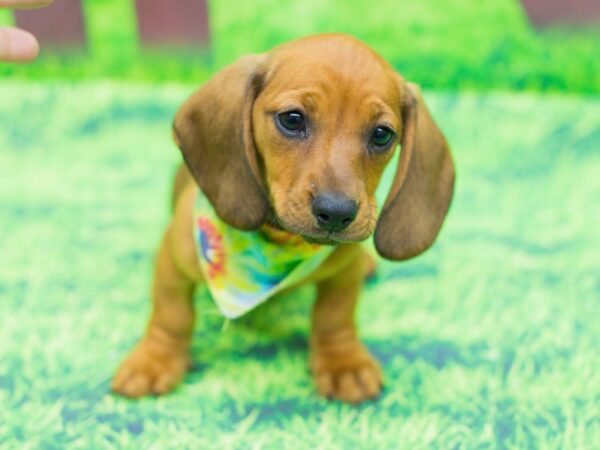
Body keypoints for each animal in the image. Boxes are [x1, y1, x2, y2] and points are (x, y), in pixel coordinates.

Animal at [111, 33, 454, 402]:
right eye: (292, 119)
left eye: (381, 134)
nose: (336, 213)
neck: (280, 243)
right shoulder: (173, 259)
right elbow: (171, 314)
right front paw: (154, 360)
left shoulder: (342, 274)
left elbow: (335, 316)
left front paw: (343, 362)